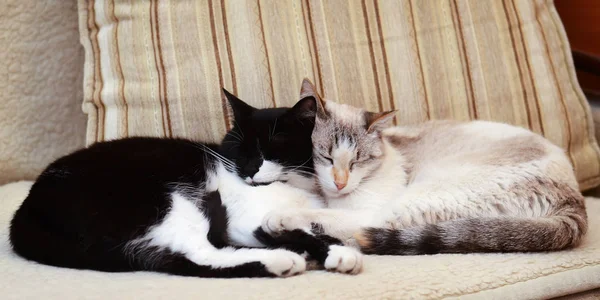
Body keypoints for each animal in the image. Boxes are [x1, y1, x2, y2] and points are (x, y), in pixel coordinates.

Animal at [9, 90, 364, 278]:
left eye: (269, 149)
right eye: (239, 148)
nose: (248, 170)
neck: (293, 187)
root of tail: (25, 212)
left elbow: (303, 228)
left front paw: (330, 247)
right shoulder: (242, 215)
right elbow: (300, 231)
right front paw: (337, 252)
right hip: (166, 200)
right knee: (192, 256)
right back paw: (282, 260)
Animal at [262, 79, 584, 253]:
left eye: (358, 160)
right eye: (325, 156)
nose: (340, 183)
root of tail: (575, 196)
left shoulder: (363, 206)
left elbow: (329, 215)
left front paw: (281, 216)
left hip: (421, 196)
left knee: (366, 226)